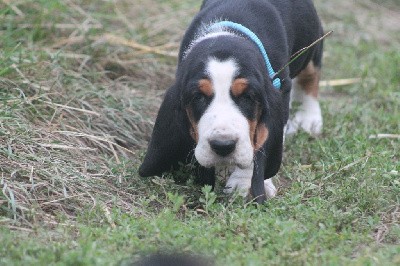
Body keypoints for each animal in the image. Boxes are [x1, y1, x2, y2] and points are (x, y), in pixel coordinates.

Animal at [139, 0, 324, 203]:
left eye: (247, 97)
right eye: (198, 97)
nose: (222, 146)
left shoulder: (280, 88)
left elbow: (258, 142)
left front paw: (245, 183)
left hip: (310, 43)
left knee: (311, 74)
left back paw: (308, 118)